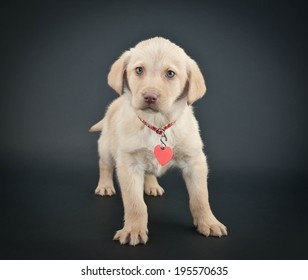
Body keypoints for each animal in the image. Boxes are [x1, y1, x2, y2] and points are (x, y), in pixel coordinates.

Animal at [90, 36, 227, 245]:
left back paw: (152, 186)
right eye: (139, 70)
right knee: (104, 165)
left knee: (149, 171)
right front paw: (133, 229)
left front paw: (209, 222)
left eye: (170, 73)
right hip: (106, 145)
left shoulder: (195, 161)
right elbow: (135, 203)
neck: (158, 125)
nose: (150, 96)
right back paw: (105, 186)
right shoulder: (129, 163)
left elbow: (201, 197)